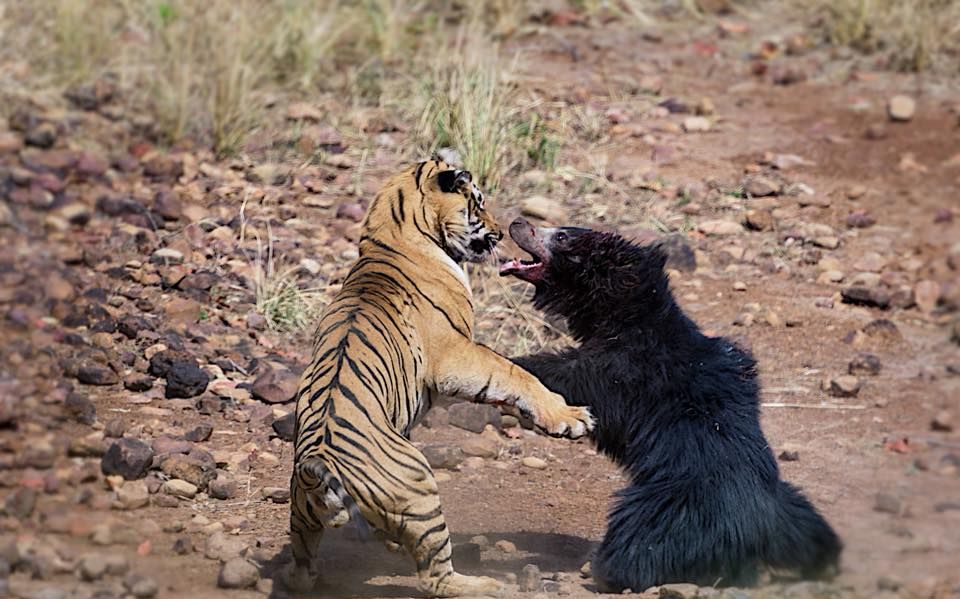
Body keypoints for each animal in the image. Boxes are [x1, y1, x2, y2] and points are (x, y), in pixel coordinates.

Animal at [286, 157, 592, 596]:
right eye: (478, 203)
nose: (501, 232)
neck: (389, 234)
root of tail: (317, 466)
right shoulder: (456, 354)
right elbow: (513, 373)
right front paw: (569, 417)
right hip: (419, 491)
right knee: (436, 577)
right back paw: (485, 584)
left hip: (301, 515)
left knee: (300, 566)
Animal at [502, 218, 840, 592]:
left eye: (561, 236)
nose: (517, 222)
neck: (629, 315)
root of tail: (758, 534)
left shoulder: (624, 370)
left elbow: (570, 377)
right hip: (793, 510)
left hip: (674, 509)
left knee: (637, 541)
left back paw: (605, 570)